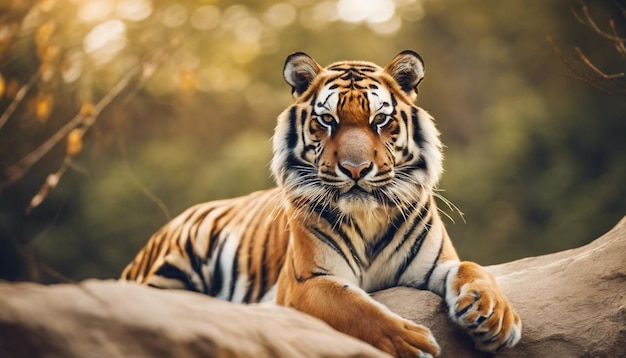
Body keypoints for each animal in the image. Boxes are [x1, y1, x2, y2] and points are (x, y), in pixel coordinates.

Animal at [119, 51, 520, 358]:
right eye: (327, 120)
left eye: (380, 119)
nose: (356, 169)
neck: (368, 216)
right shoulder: (307, 281)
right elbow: (357, 308)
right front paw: (413, 343)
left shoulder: (436, 263)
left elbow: (473, 269)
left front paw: (495, 317)